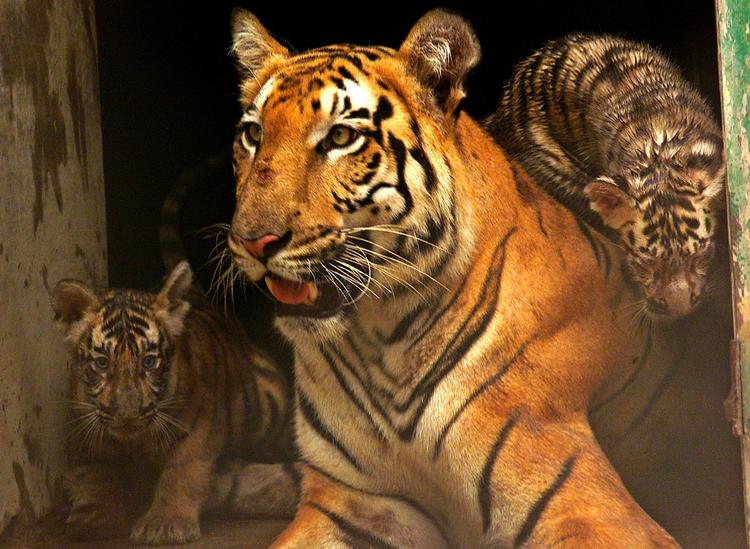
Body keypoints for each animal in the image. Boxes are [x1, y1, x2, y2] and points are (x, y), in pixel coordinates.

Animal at [51, 260, 297, 545]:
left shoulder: (199, 427)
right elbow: (99, 471)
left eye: (149, 361)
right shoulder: (87, 427)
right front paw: (92, 514)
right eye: (102, 363)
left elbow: (182, 471)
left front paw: (165, 523)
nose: (127, 414)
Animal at [225, 8, 680, 547]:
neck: (378, 343)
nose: (254, 241)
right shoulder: (354, 503)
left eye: (340, 138)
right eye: (254, 135)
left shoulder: (589, 507)